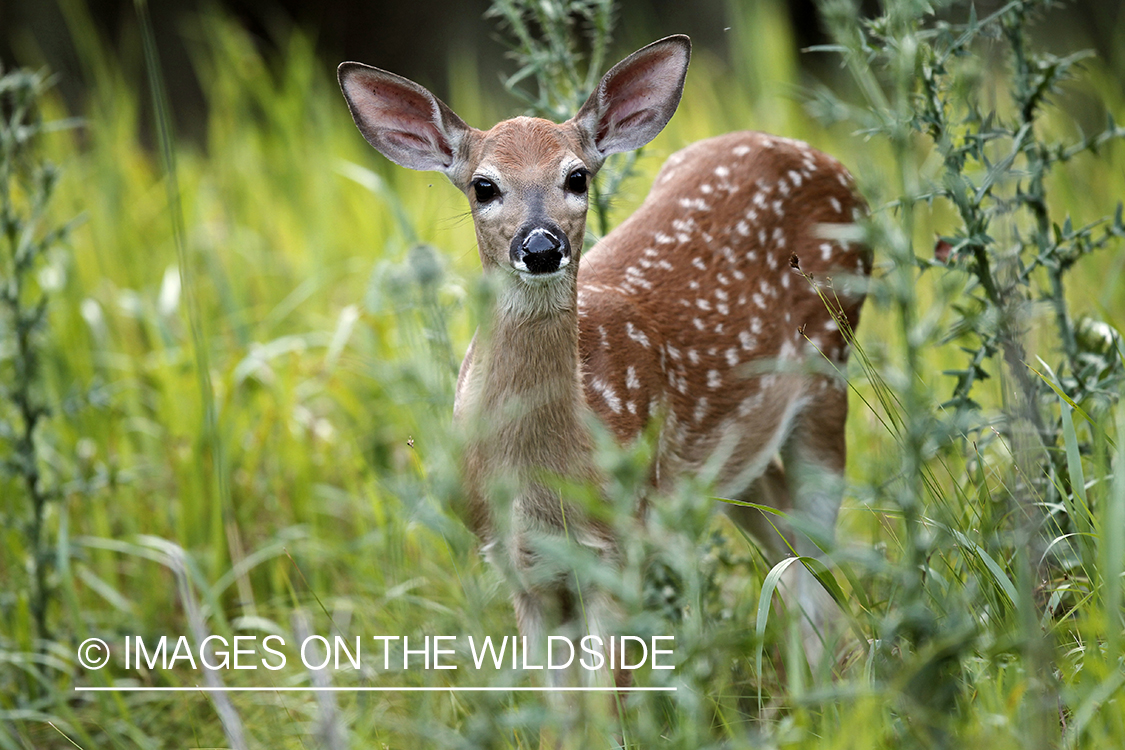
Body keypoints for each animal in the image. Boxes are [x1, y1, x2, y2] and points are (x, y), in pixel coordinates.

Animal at [338, 35, 869, 691]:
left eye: (577, 176)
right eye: (483, 186)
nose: (542, 246)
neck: (543, 473)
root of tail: (820, 156)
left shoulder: (619, 545)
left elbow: (608, 698)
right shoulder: (518, 564)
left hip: (831, 370)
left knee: (819, 553)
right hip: (740, 454)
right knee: (787, 546)